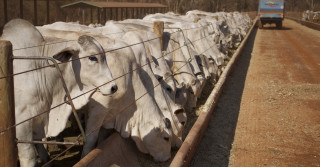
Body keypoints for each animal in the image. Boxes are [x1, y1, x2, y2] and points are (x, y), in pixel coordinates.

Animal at [0, 19, 117, 167]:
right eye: (92, 57)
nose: (113, 87)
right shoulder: (22, 123)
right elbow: (30, 159)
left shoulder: (38, 119)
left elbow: (42, 151)